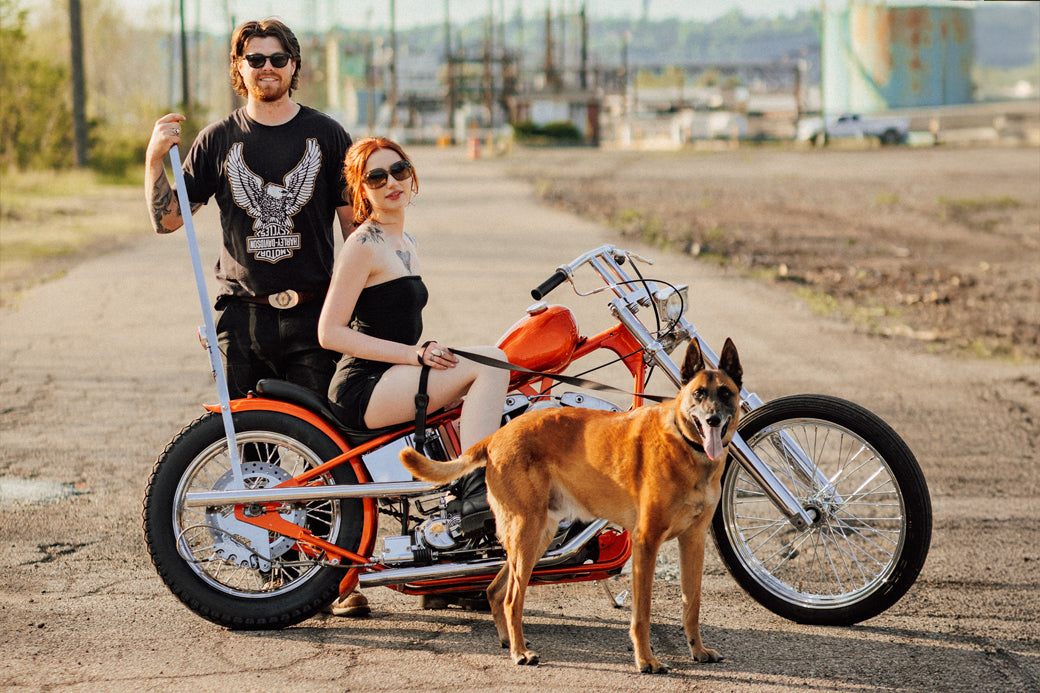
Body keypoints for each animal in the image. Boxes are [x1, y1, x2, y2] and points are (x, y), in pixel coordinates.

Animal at [397, 337, 740, 670]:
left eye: (726, 393)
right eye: (698, 394)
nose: (712, 420)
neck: (686, 444)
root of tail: (496, 436)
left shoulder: (693, 541)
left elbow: (692, 602)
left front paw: (698, 650)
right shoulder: (647, 542)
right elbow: (642, 612)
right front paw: (646, 660)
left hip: (537, 538)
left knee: (496, 591)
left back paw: (509, 642)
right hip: (527, 533)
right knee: (512, 599)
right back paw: (520, 653)